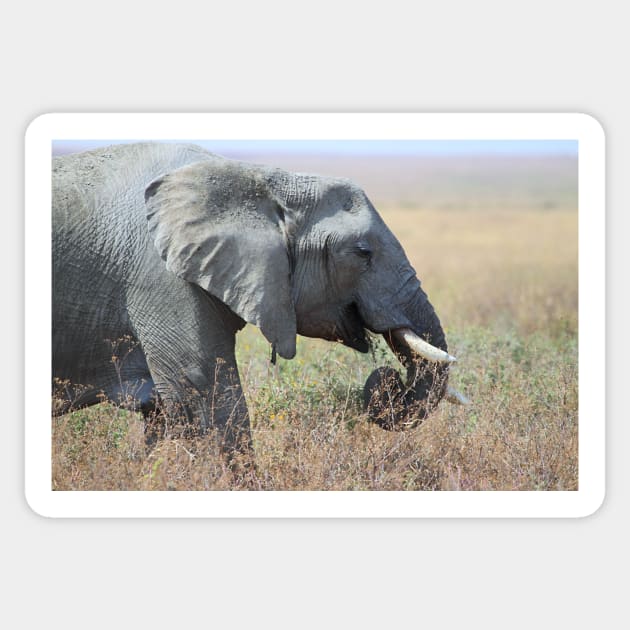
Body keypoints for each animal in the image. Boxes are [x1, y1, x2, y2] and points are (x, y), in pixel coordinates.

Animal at [53, 142, 470, 454]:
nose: (389, 381)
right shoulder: (161, 278)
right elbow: (204, 399)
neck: (263, 179)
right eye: (363, 252)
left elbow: (165, 415)